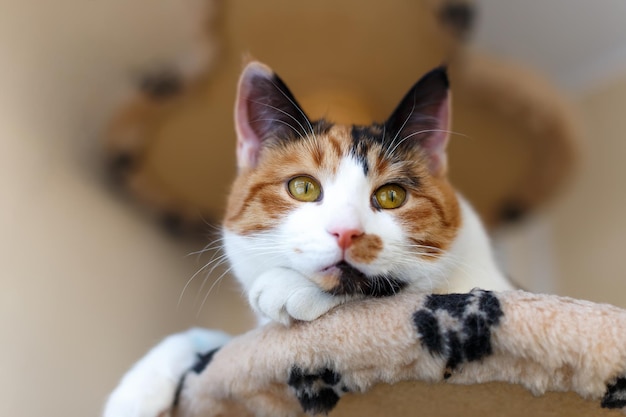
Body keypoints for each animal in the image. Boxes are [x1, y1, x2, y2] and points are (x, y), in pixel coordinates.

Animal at [103, 60, 512, 414]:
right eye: (302, 187)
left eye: (391, 196)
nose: (346, 231)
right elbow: (205, 339)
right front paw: (135, 392)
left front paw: (285, 288)